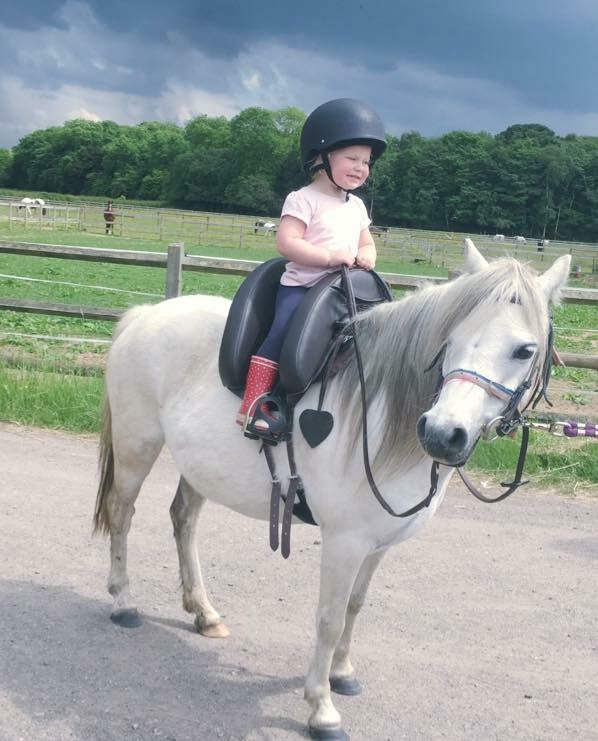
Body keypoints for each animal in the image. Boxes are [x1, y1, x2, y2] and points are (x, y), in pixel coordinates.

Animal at [94, 240, 572, 736]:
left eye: (524, 350)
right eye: (449, 340)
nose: (442, 433)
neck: (380, 415)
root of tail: (145, 314)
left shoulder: (380, 542)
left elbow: (356, 606)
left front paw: (342, 674)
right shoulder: (344, 542)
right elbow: (329, 617)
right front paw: (320, 707)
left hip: (198, 465)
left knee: (183, 520)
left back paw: (204, 613)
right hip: (136, 446)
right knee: (122, 515)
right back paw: (123, 602)